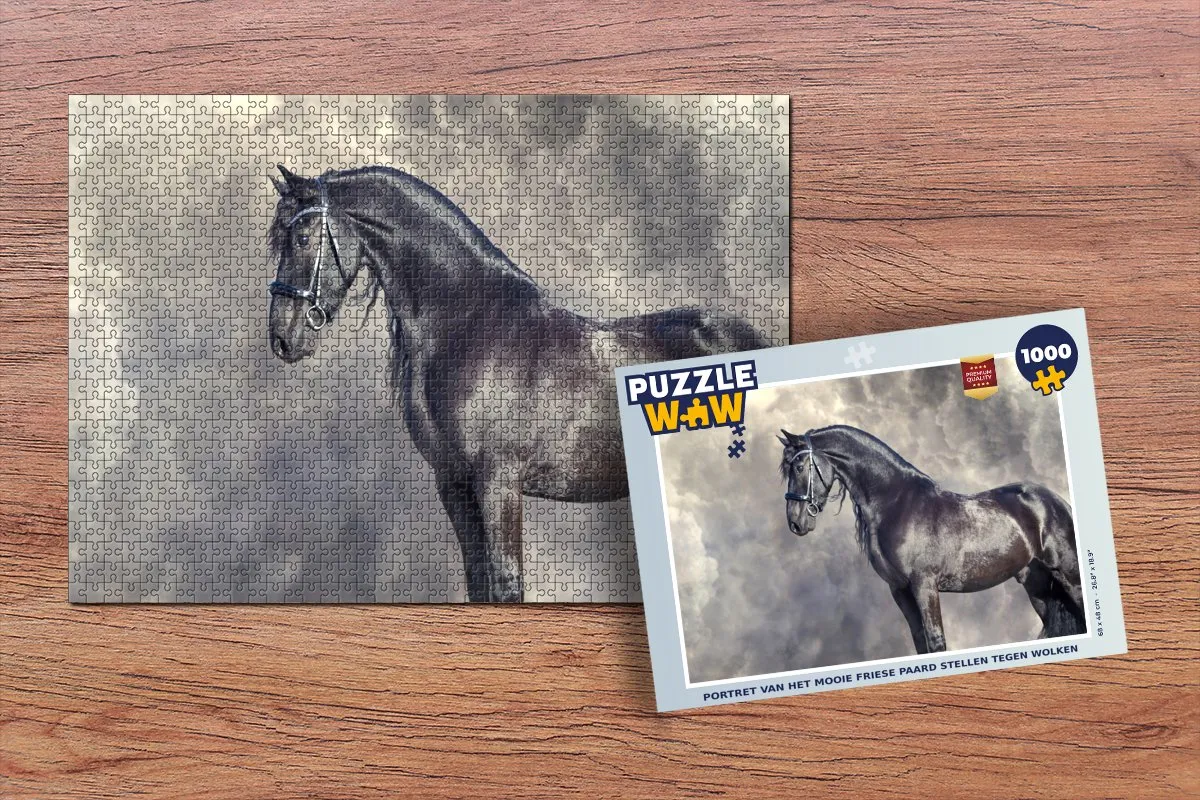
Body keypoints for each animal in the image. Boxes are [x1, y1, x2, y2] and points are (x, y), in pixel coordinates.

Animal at [266, 165, 768, 602]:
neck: (469, 324)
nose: (282, 338)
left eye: (303, 237)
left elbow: (507, 586)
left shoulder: (499, 483)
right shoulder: (454, 484)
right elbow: (479, 586)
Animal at [777, 425, 1086, 653]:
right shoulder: (899, 590)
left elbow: (936, 642)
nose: (795, 523)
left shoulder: (924, 586)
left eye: (799, 466)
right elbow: (920, 642)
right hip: (1037, 586)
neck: (897, 504)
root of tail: (1056, 502)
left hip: (1070, 576)